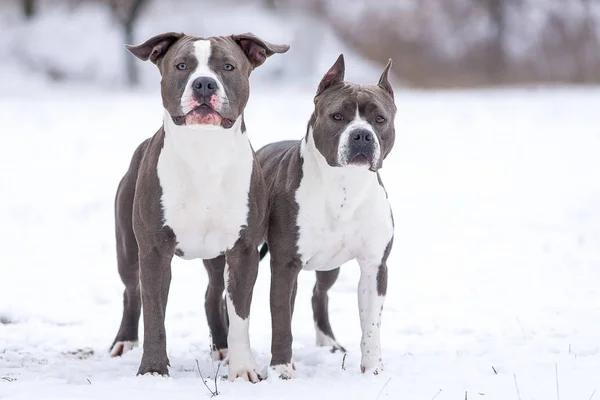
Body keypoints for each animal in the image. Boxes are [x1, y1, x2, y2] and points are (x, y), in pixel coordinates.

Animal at [109, 31, 288, 382]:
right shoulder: (153, 250)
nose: (204, 84)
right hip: (127, 249)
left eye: (228, 66)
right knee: (131, 291)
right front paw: (153, 370)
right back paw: (124, 341)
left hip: (217, 257)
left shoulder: (244, 251)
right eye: (182, 65)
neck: (205, 152)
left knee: (212, 295)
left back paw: (222, 347)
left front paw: (243, 369)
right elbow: (154, 314)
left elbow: (240, 315)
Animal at [256, 54, 394, 378]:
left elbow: (371, 325)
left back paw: (328, 342)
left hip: (330, 266)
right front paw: (281, 369)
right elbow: (281, 319)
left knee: (319, 294)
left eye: (380, 119)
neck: (345, 186)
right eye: (337, 116)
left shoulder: (375, 266)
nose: (361, 135)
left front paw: (373, 368)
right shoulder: (285, 265)